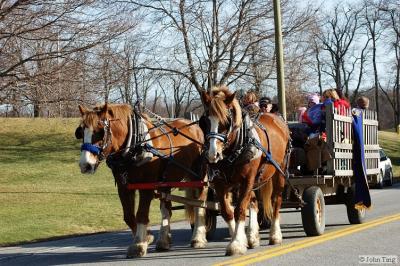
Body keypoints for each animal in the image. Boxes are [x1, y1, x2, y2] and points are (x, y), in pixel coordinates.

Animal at [76, 104, 209, 258]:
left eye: (100, 132)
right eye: (81, 132)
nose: (85, 165)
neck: (135, 146)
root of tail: (196, 127)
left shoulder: (146, 187)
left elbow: (141, 214)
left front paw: (139, 244)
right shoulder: (124, 187)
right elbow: (128, 216)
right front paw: (148, 237)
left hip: (199, 177)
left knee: (199, 205)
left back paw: (198, 238)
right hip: (166, 181)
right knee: (166, 210)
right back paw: (164, 241)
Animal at [202, 87, 290, 256]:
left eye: (226, 122)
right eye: (204, 122)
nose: (212, 154)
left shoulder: (247, 180)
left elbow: (240, 210)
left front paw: (236, 243)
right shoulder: (220, 183)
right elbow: (227, 212)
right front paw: (239, 240)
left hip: (280, 171)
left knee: (276, 199)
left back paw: (275, 235)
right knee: (254, 202)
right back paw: (252, 237)